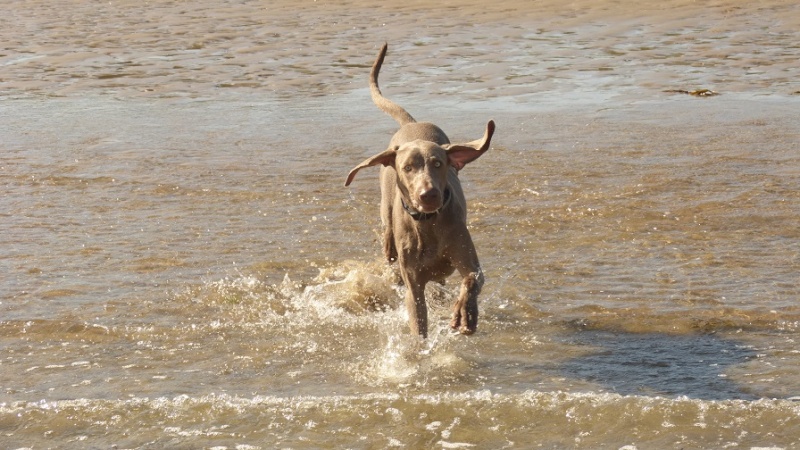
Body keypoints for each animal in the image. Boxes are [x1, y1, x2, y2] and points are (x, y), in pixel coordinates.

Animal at [344, 43, 494, 338]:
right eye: (408, 167)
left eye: (438, 164)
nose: (429, 194)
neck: (428, 224)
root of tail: (410, 124)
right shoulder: (413, 283)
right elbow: (418, 320)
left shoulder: (466, 256)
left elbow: (472, 280)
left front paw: (465, 314)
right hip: (386, 212)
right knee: (388, 236)